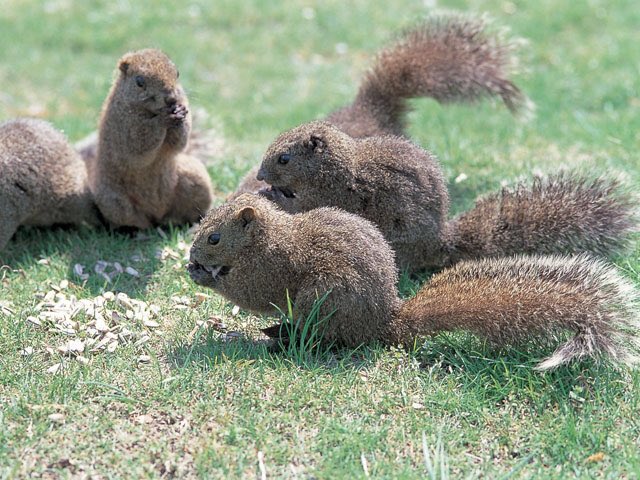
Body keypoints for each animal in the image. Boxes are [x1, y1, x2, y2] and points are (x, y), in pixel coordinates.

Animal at [85, 48, 214, 229]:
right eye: (139, 81)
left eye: (177, 73)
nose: (171, 99)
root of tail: (157, 213)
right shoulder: (123, 127)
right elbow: (140, 146)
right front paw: (162, 120)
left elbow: (179, 144)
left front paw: (180, 112)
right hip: (114, 202)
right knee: (137, 221)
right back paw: (137, 231)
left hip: (196, 180)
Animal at [189, 193, 640, 370]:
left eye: (214, 238)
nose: (192, 257)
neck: (269, 237)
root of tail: (383, 321)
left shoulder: (273, 267)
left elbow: (254, 293)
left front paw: (206, 277)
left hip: (323, 301)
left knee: (326, 340)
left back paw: (281, 338)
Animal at [254, 120, 636, 272]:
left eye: (284, 158)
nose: (259, 175)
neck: (335, 167)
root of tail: (440, 244)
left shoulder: (330, 193)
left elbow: (302, 206)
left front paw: (271, 193)